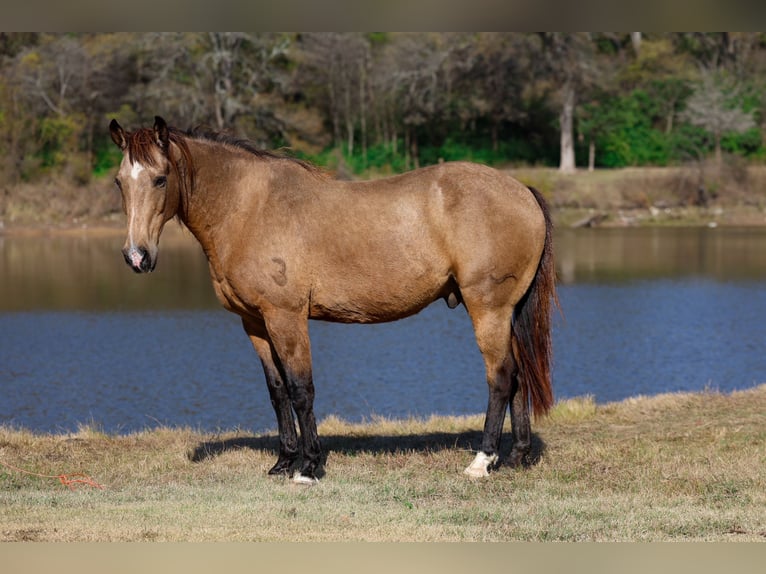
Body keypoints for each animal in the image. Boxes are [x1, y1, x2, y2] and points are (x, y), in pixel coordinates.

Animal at [109, 116, 558, 484]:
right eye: (119, 181)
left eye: (160, 178)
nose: (136, 256)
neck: (249, 209)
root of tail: (522, 191)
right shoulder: (254, 322)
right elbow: (277, 391)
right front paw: (283, 462)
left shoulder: (287, 317)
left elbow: (301, 389)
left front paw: (308, 467)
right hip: (506, 313)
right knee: (518, 377)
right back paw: (515, 458)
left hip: (488, 309)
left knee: (500, 377)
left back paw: (481, 462)